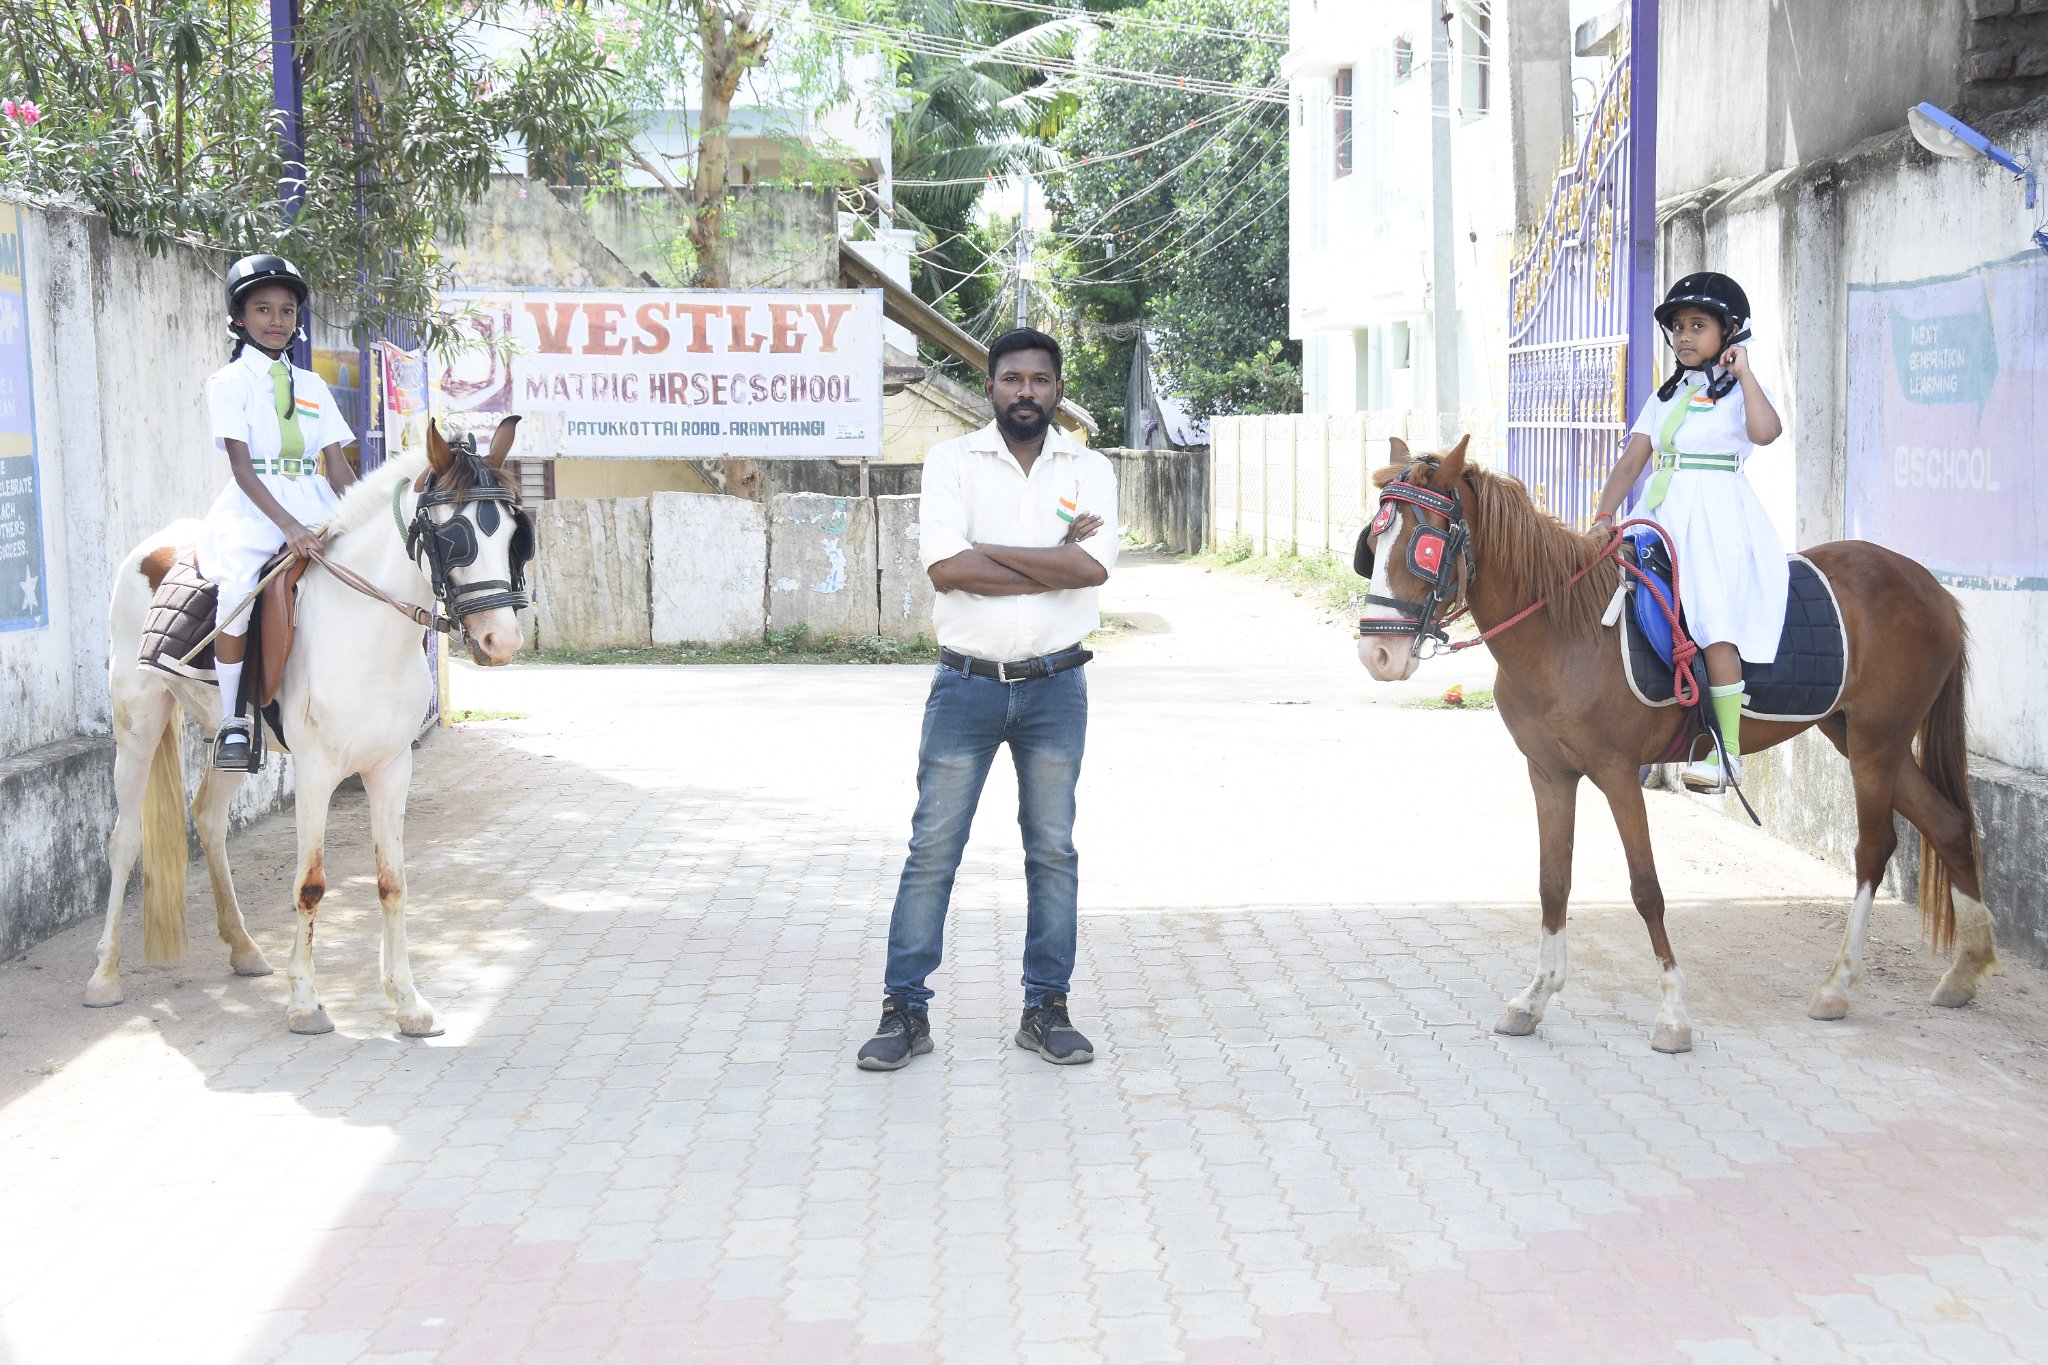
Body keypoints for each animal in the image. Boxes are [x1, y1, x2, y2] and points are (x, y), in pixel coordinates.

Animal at [91, 419, 532, 1035]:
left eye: (515, 533)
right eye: (453, 536)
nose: (501, 641)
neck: (366, 629)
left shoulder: (392, 767)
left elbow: (393, 881)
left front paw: (408, 1001)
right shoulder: (318, 771)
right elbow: (311, 885)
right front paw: (304, 1001)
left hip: (231, 741)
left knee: (209, 818)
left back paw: (243, 947)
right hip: (138, 722)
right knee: (125, 839)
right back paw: (104, 974)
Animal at [1351, 437, 1990, 1055]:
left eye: (1424, 546)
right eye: (1372, 544)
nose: (1377, 655)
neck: (1564, 629)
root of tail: (1929, 586)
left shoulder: (1617, 774)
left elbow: (1647, 889)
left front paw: (1674, 1014)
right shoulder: (1549, 773)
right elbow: (1553, 881)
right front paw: (1535, 997)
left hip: (1877, 744)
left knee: (1874, 849)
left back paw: (1838, 984)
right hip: (1858, 735)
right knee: (1950, 824)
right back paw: (1966, 968)